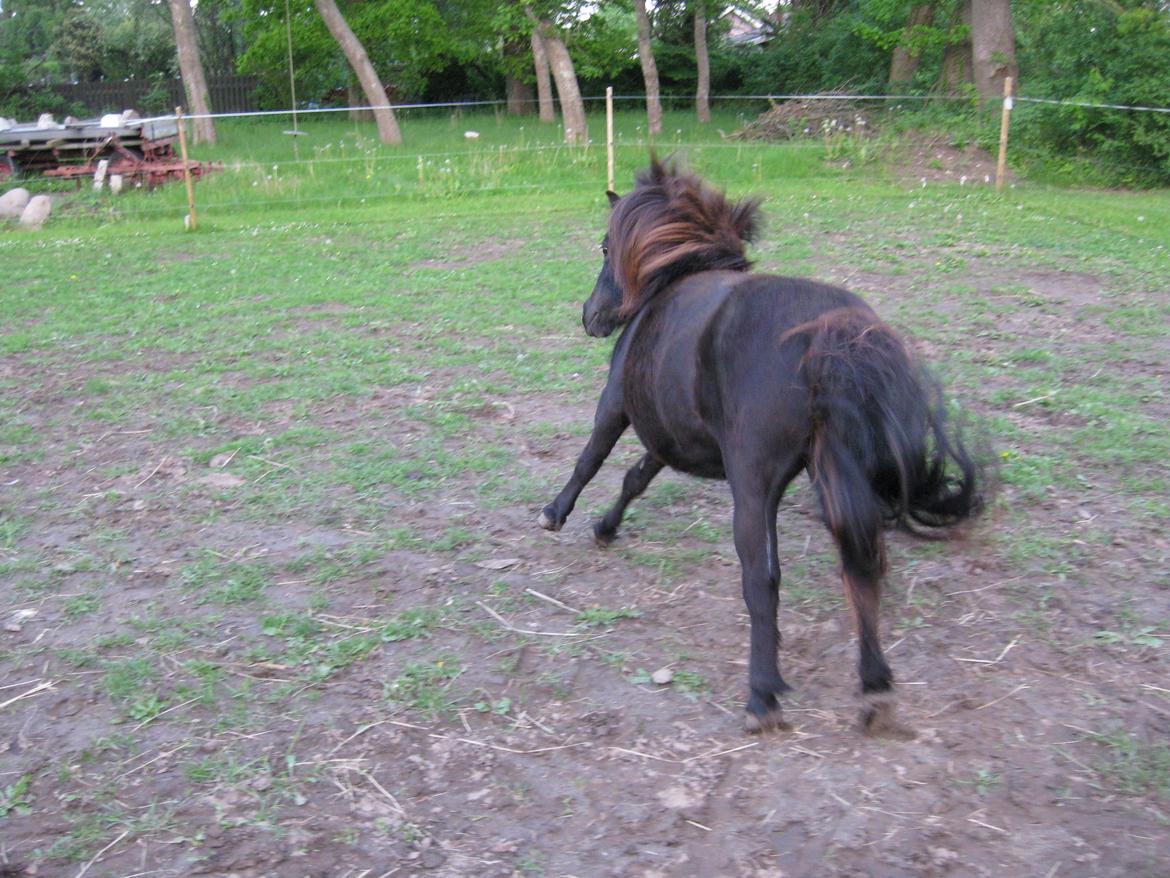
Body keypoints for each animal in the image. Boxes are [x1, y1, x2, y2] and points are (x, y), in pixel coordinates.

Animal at [542, 161, 982, 739]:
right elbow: (636, 478)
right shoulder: (672, 434)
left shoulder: (617, 406)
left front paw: (556, 513)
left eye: (603, 246)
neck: (671, 281)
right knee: (861, 567)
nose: (590, 316)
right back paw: (875, 687)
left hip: (754, 487)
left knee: (763, 579)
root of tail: (831, 339)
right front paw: (605, 527)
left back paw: (763, 694)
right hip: (837, 476)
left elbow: (591, 460)